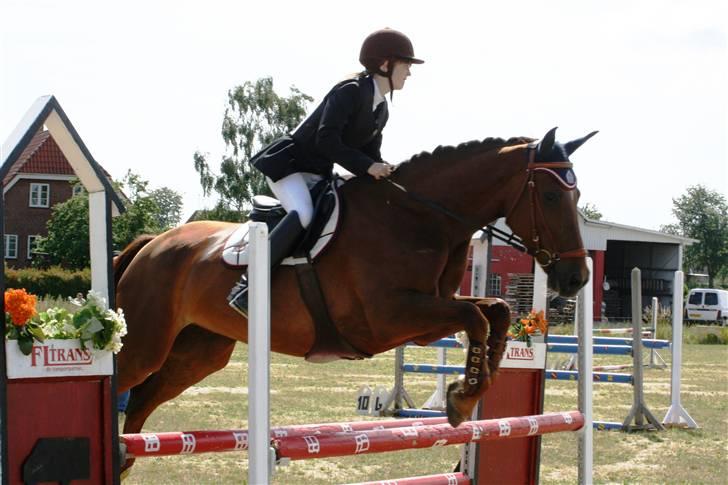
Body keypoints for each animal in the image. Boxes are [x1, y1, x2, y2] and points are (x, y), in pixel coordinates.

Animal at [112, 125, 592, 450]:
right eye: (551, 196)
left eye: (577, 195)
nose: (576, 278)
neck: (420, 217)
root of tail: (152, 243)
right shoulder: (387, 319)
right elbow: (475, 315)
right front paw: (463, 395)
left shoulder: (425, 319)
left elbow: (495, 311)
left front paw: (470, 388)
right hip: (145, 344)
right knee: (125, 383)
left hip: (199, 352)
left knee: (140, 404)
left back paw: (127, 457)